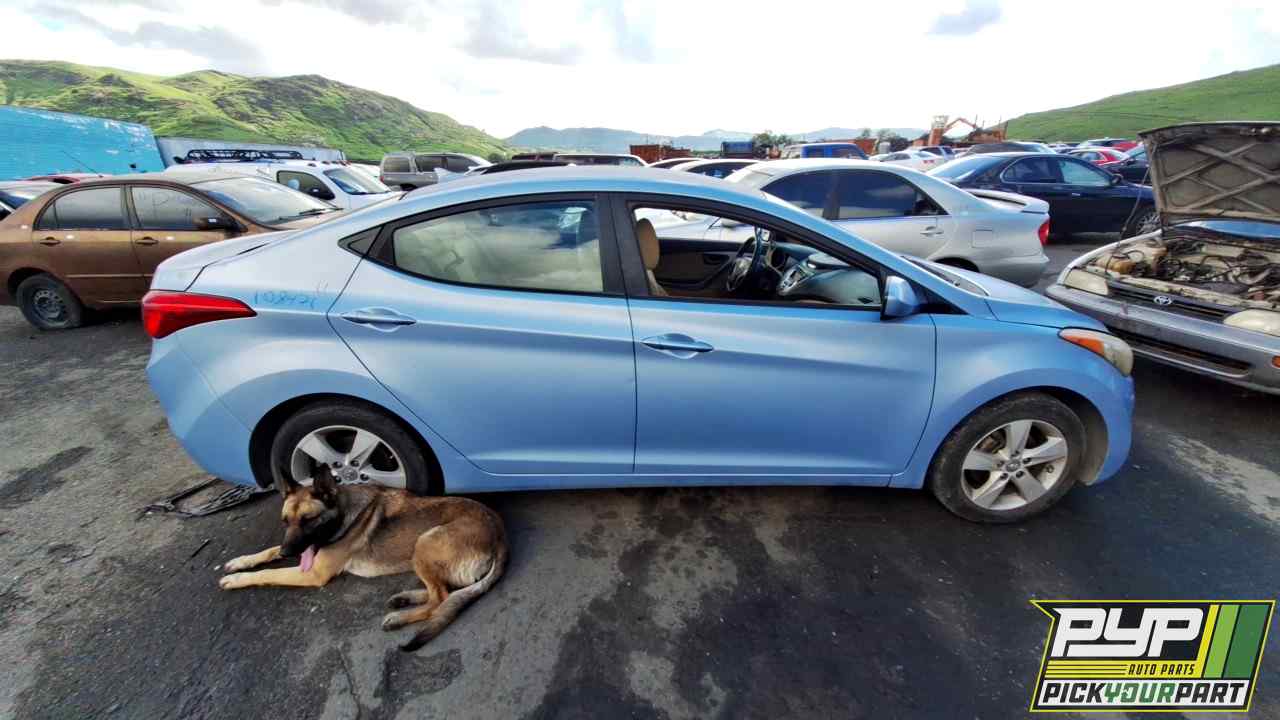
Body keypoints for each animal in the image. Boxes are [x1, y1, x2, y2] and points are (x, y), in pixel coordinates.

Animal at [218, 462, 507, 651]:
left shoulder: (312, 572)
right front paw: (240, 561)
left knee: (441, 598)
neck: (344, 512)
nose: (289, 552)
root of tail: (500, 533)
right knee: (446, 590)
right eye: (285, 521)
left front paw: (237, 579)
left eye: (309, 520)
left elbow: (269, 572)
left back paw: (399, 618)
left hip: (423, 543)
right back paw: (404, 599)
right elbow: (268, 552)